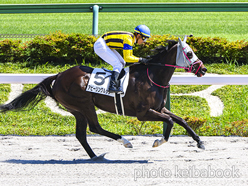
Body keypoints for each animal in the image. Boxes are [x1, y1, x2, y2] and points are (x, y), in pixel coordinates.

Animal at [0, 36, 207, 158]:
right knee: (95, 127)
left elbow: (181, 120)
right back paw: (124, 142)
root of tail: (58, 76)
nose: (203, 69)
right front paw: (158, 141)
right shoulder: (144, 113)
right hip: (84, 105)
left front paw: (200, 142)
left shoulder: (159, 108)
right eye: (189, 53)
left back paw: (94, 156)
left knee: (81, 134)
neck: (153, 76)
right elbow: (170, 122)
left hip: (76, 110)